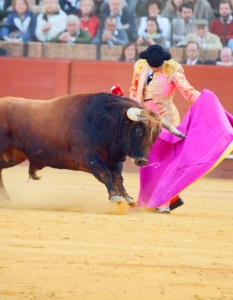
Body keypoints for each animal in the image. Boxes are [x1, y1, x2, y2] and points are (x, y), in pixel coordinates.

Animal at [0, 93, 185, 206]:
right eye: (139, 131)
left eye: (156, 135)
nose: (142, 161)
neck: (105, 122)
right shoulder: (89, 157)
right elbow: (106, 174)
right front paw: (115, 196)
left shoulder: (115, 159)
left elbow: (118, 178)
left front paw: (127, 197)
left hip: (14, 156)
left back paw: (6, 198)